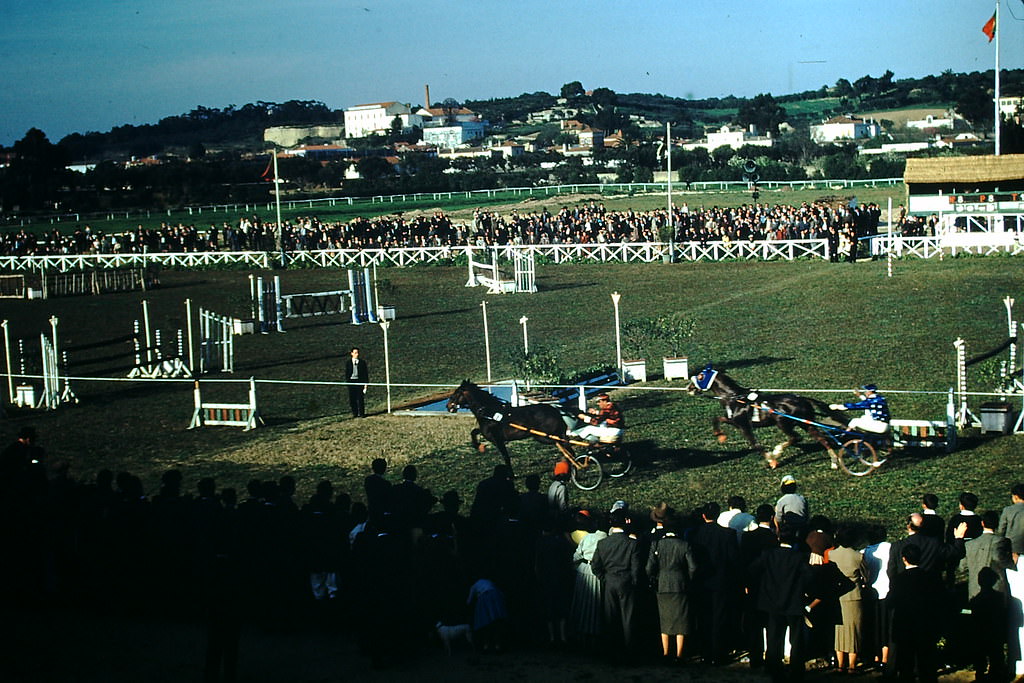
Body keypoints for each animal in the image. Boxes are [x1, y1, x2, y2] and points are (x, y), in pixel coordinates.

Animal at [688, 362, 847, 471]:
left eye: (701, 376)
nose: (689, 388)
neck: (735, 398)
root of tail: (802, 399)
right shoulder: (734, 421)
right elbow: (717, 419)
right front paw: (720, 436)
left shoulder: (743, 425)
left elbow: (755, 444)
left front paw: (771, 460)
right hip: (806, 423)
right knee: (822, 439)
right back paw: (834, 462)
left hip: (783, 423)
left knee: (796, 437)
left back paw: (777, 452)